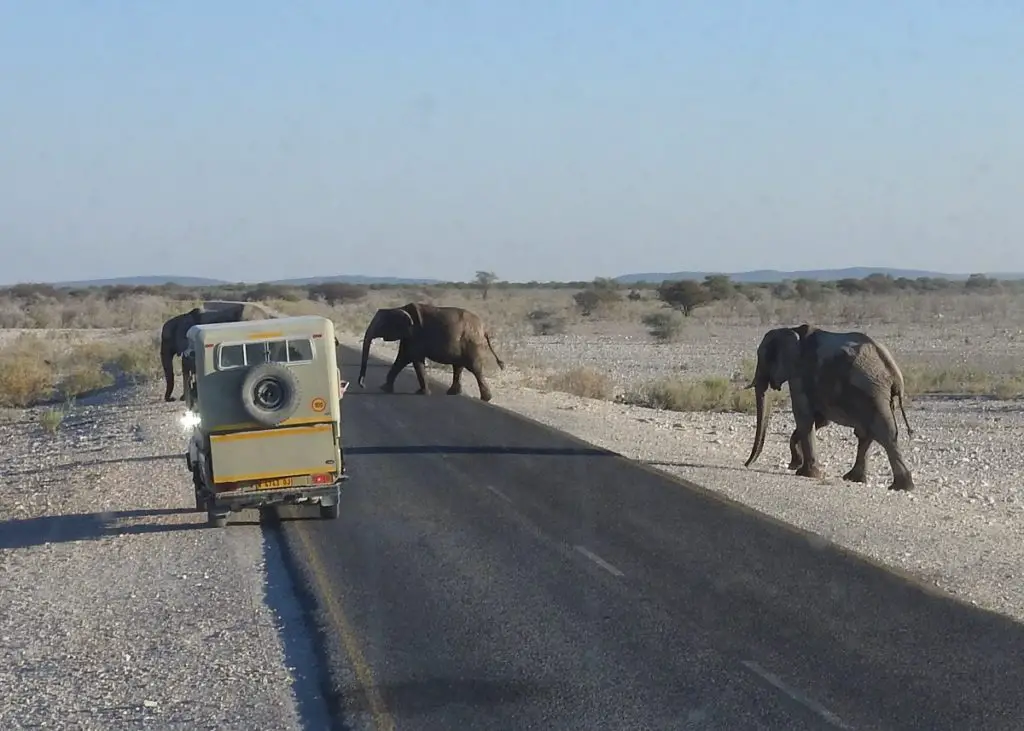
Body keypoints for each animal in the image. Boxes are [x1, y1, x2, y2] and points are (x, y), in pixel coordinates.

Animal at [741, 323, 917, 489]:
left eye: (763, 358)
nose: (746, 465)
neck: (792, 330)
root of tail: (895, 374)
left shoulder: (800, 374)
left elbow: (803, 416)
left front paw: (805, 473)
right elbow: (819, 420)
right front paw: (795, 465)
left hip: (872, 392)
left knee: (882, 433)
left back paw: (900, 487)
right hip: (878, 395)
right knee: (868, 433)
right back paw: (856, 479)